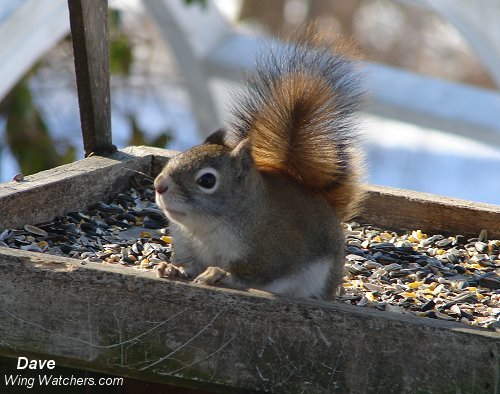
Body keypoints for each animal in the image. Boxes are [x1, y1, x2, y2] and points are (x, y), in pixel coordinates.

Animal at [154, 39, 366, 298]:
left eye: (207, 181)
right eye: (175, 158)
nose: (159, 185)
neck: (205, 229)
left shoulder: (275, 251)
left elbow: (256, 273)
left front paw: (219, 274)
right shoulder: (187, 246)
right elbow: (189, 265)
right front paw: (172, 268)